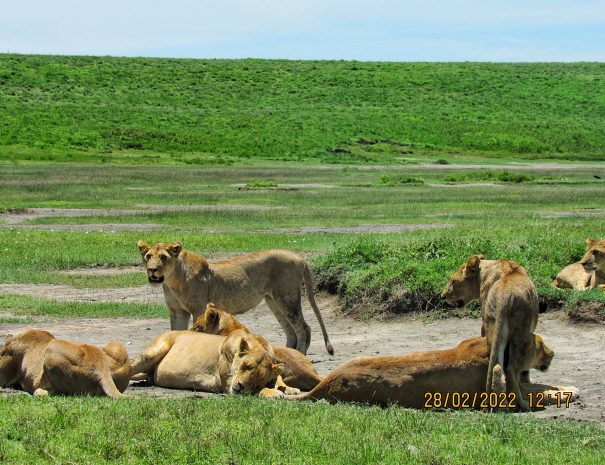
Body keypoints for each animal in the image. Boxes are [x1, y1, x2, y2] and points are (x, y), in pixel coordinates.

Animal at [129, 328, 284, 394]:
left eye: (259, 378)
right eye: (245, 366)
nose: (241, 386)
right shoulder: (228, 385)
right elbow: (256, 392)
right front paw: (273, 393)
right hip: (154, 351)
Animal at [138, 241, 336, 354]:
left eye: (163, 257)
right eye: (148, 256)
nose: (152, 270)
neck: (172, 281)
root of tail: (299, 257)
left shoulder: (199, 308)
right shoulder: (177, 311)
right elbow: (175, 332)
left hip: (287, 298)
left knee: (304, 328)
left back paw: (299, 355)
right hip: (273, 301)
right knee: (291, 331)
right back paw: (286, 354)